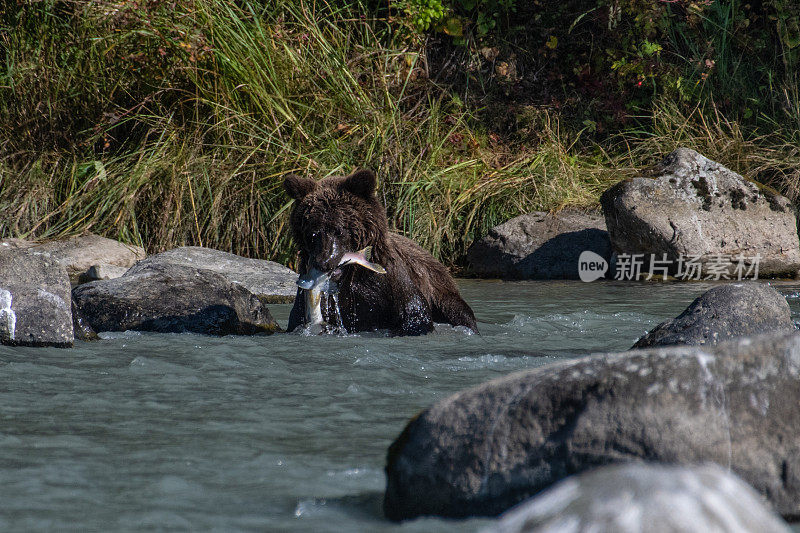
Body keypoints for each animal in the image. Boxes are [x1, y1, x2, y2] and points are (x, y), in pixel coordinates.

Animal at [284, 168, 478, 334]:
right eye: (312, 232)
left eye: (339, 230)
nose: (324, 262)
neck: (349, 276)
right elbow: (298, 321)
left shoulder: (389, 283)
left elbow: (414, 314)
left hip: (440, 290)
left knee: (459, 313)